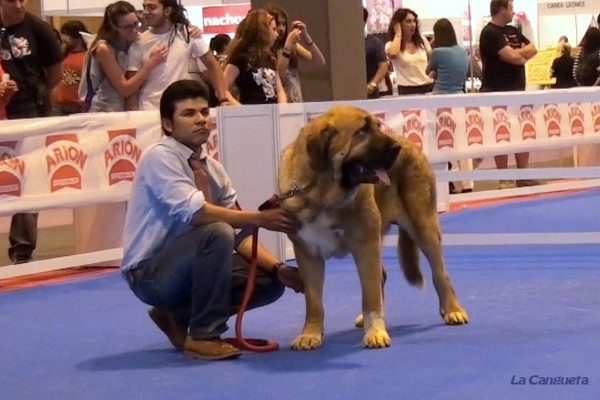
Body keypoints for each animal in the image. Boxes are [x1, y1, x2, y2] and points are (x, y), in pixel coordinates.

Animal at [276, 104, 468, 350]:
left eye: (377, 126)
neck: (323, 193)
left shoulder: (365, 244)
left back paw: (453, 310)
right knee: (383, 275)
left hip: (423, 227)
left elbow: (370, 295)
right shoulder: (307, 253)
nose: (395, 149)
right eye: (362, 131)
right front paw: (310, 334)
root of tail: (410, 143)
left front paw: (375, 332)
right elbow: (314, 301)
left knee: (440, 273)